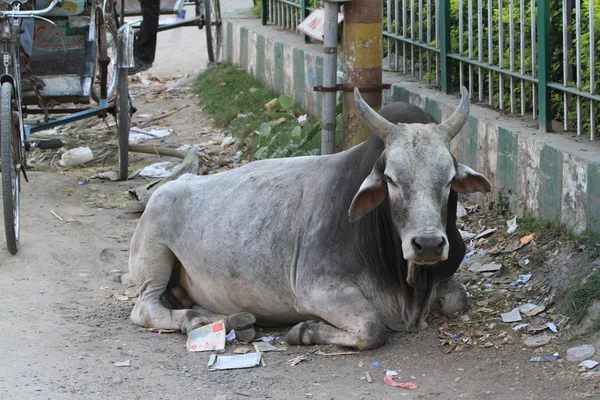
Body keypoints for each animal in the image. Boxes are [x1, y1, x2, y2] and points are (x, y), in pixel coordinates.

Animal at [129, 86, 490, 350]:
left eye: (449, 179)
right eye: (391, 179)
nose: (427, 244)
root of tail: (173, 184)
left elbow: (458, 298)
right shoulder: (316, 289)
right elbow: (372, 327)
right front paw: (304, 330)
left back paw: (232, 320)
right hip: (153, 254)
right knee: (145, 308)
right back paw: (195, 320)